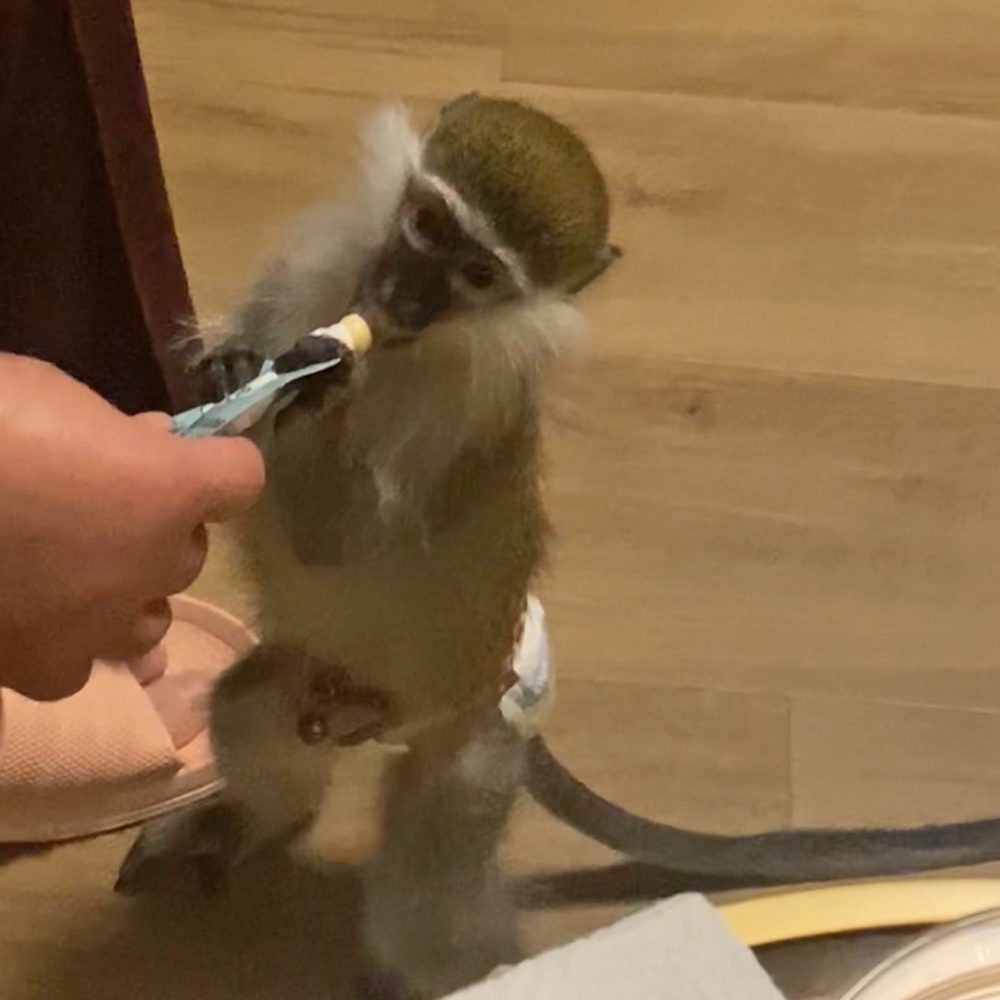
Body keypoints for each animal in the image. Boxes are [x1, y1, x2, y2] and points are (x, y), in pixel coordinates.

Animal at [115, 94, 1000, 996]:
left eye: (479, 277)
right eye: (428, 223)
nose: (401, 295)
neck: (411, 343)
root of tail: (498, 681)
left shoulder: (467, 414)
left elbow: (338, 539)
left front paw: (320, 380)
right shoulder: (313, 261)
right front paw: (230, 369)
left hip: (467, 746)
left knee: (428, 886)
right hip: (319, 681)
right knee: (252, 703)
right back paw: (256, 822)